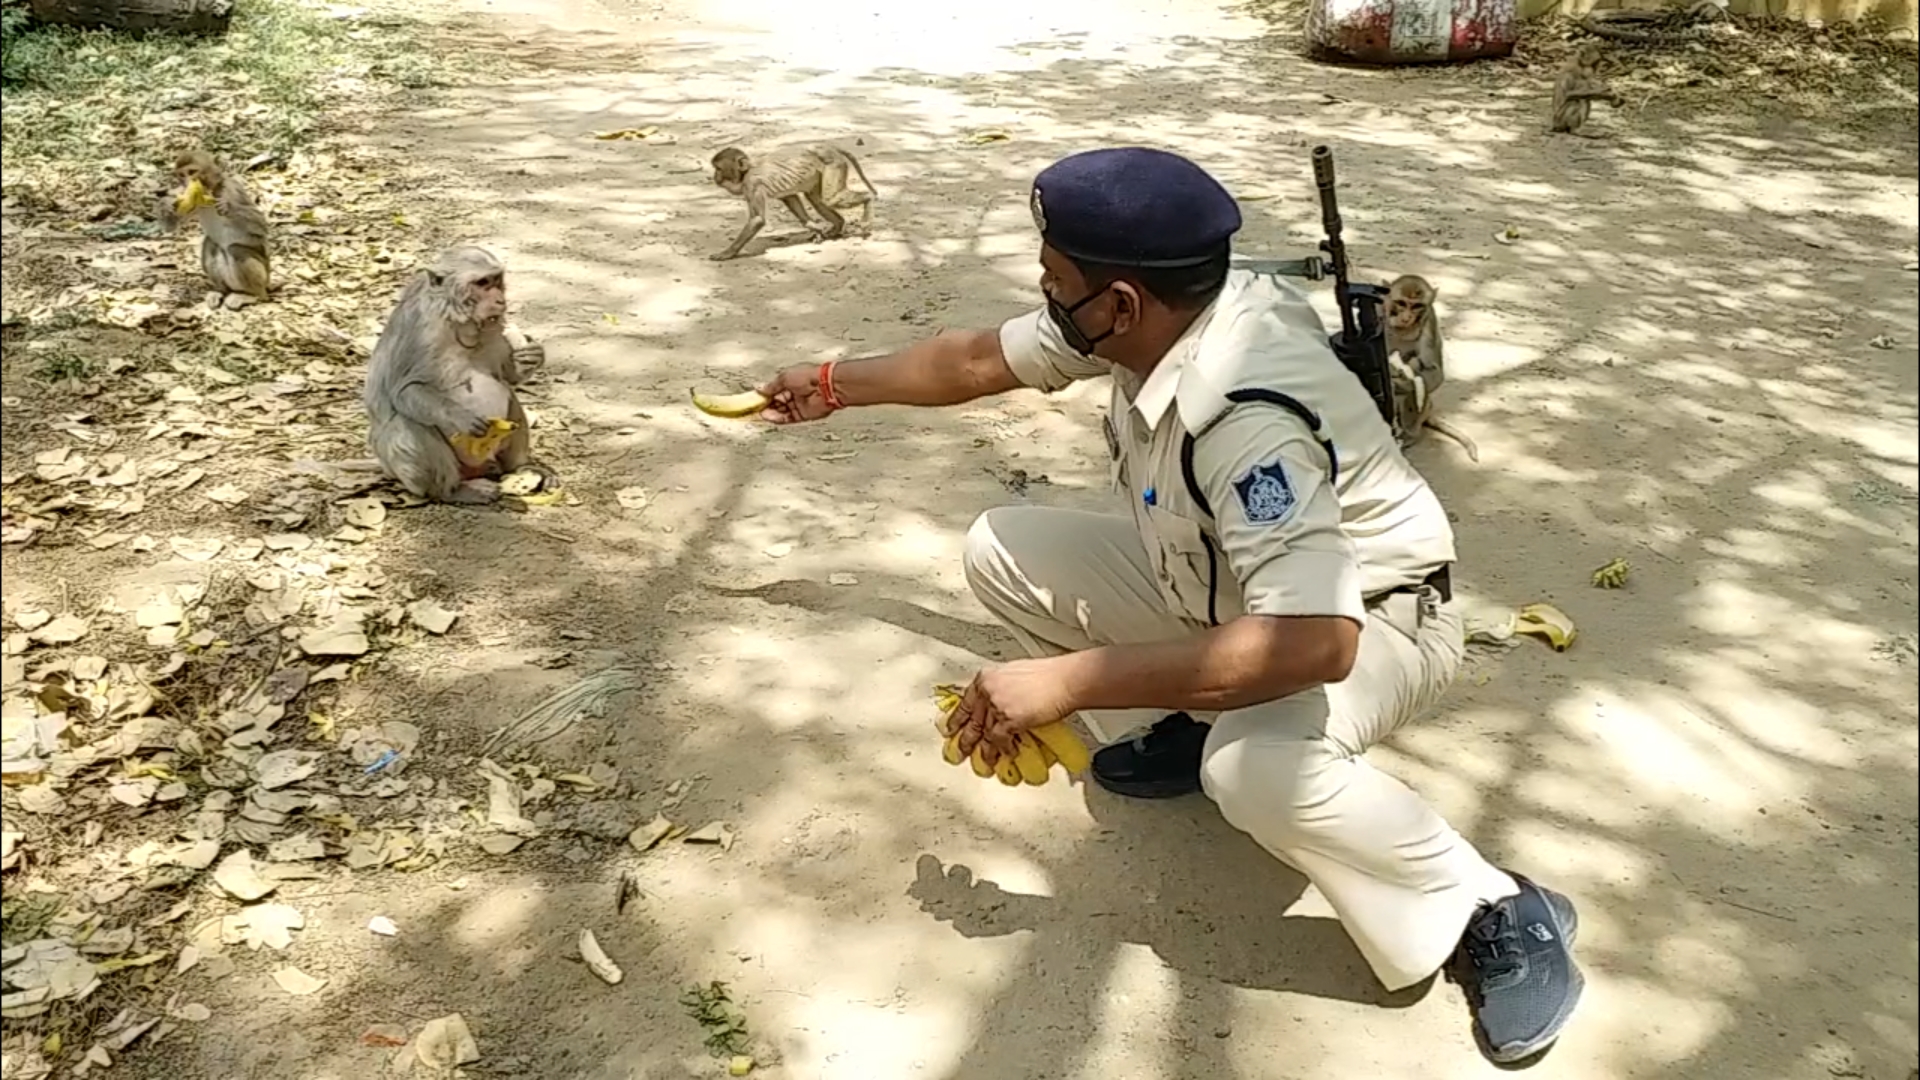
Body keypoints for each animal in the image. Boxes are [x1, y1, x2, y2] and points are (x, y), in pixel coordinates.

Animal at [360, 244, 556, 503]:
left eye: (496, 280)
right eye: (482, 283)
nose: (500, 300)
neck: (456, 319)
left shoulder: (495, 326)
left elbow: (507, 376)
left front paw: (532, 357)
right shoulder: (419, 330)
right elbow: (404, 391)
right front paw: (460, 416)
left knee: (510, 399)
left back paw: (520, 468)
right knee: (408, 424)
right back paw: (452, 492)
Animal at [710, 143, 879, 261]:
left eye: (719, 169)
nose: (715, 177)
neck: (746, 172)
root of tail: (827, 146)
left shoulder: (752, 184)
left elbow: (757, 219)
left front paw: (728, 252)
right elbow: (790, 198)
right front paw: (814, 227)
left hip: (833, 164)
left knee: (830, 198)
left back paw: (867, 200)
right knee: (818, 200)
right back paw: (837, 225)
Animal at [1382, 272, 1482, 457]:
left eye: (1417, 306)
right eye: (1401, 303)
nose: (1407, 317)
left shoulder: (1430, 321)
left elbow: (1433, 371)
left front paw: (1397, 383)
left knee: (1416, 371)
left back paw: (1410, 435)